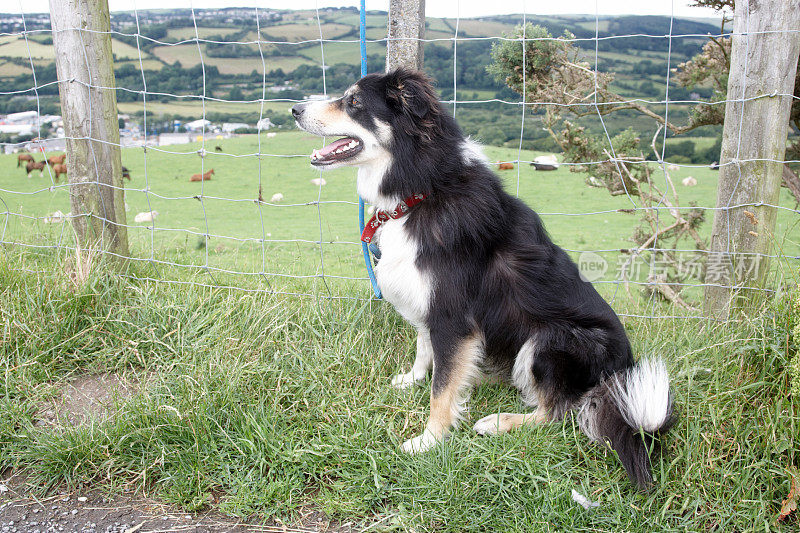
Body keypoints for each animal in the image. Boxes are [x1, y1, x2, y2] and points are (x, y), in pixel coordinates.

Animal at [290, 67, 672, 486]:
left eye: (354, 102)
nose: (294, 110)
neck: (423, 188)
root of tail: (621, 373)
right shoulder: (433, 307)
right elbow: (427, 350)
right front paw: (414, 379)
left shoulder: (453, 317)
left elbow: (442, 390)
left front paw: (428, 441)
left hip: (551, 341)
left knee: (557, 411)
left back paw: (498, 422)